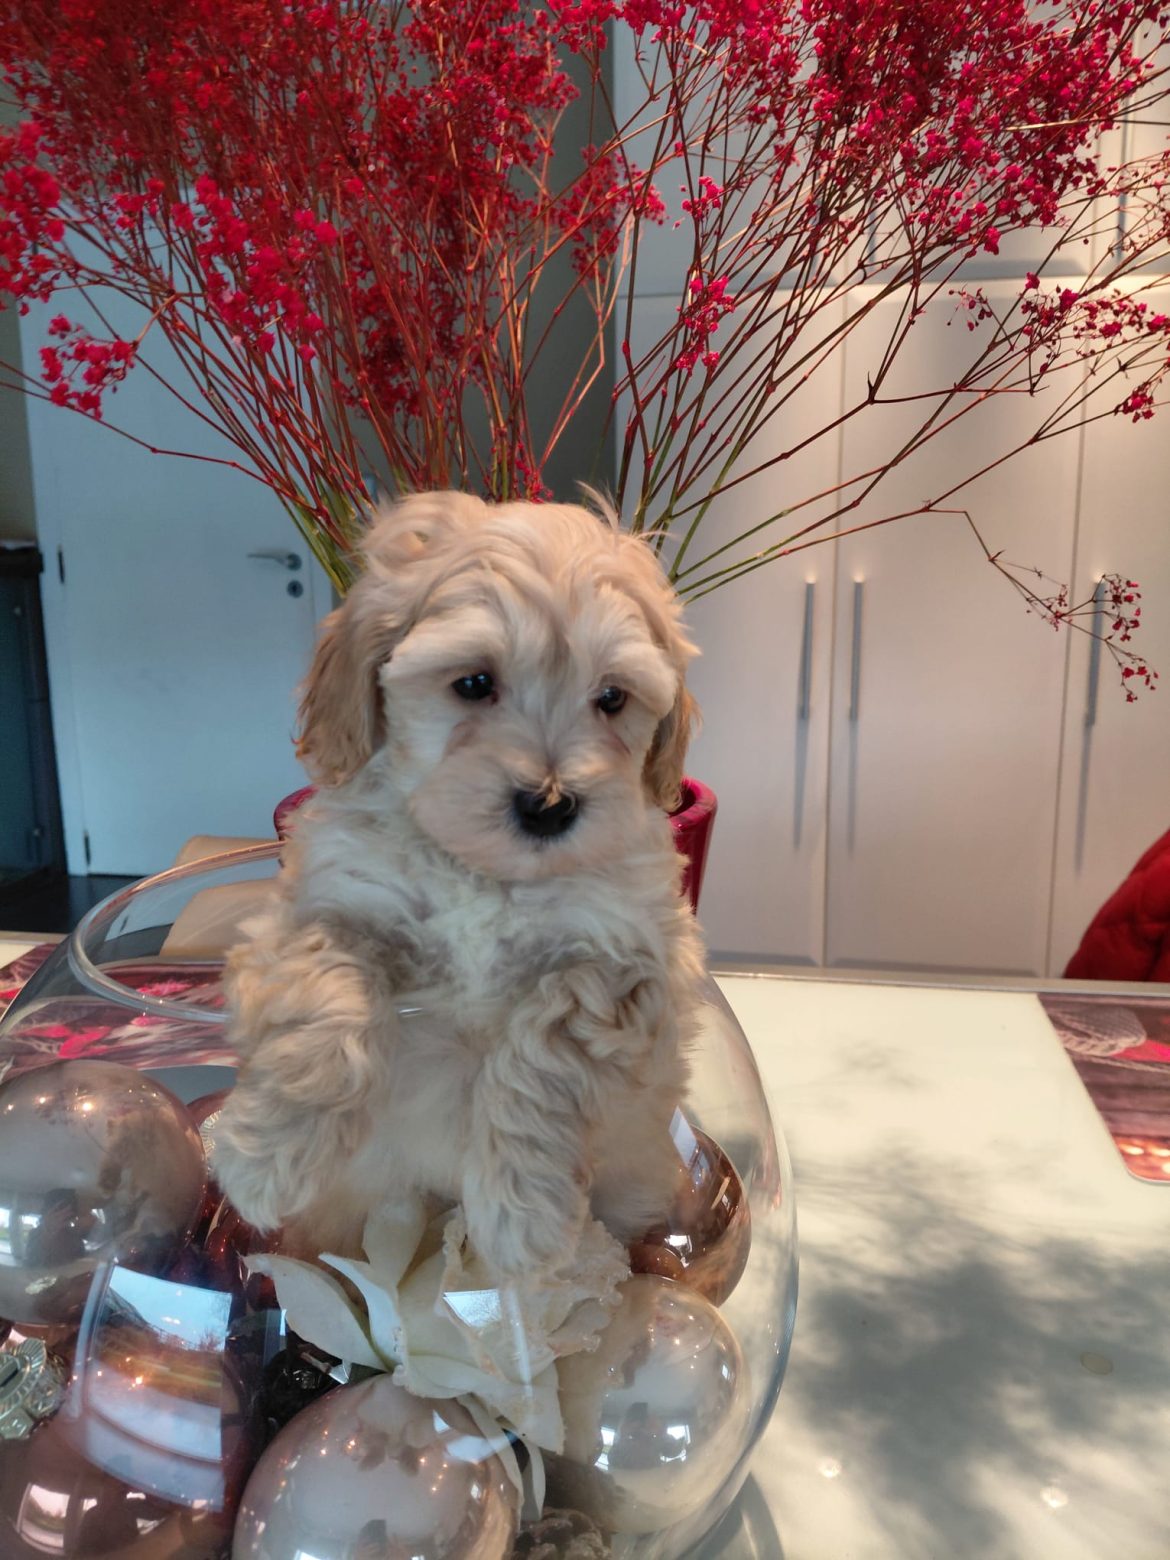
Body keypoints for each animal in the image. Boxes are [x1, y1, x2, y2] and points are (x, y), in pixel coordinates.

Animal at [212, 492, 706, 1275]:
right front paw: (266, 1157)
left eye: (612, 698)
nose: (549, 806)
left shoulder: (629, 957)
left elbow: (546, 1047)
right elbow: (325, 999)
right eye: (474, 683)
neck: (484, 872)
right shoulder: (320, 907)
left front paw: (524, 1211)